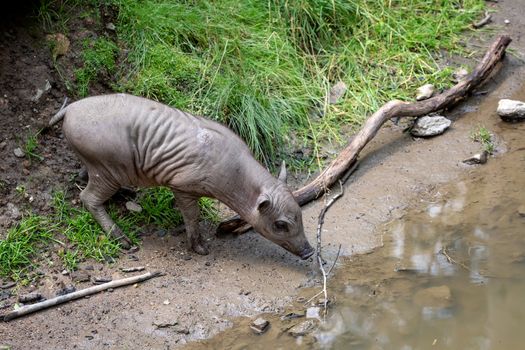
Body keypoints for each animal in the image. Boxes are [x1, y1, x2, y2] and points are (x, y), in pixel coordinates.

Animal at [49, 93, 314, 260]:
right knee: (88, 198)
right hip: (106, 169)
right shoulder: (183, 186)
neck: (235, 174)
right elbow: (192, 216)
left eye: (301, 216)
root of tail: (69, 109)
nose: (310, 252)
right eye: (280, 225)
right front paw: (201, 249)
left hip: (96, 165)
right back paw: (123, 240)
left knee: (82, 177)